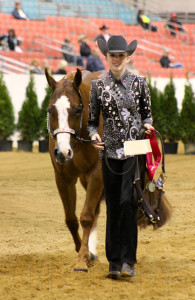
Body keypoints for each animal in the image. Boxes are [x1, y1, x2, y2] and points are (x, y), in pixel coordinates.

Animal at [45, 68, 106, 272]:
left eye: (78, 109)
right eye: (50, 110)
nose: (63, 153)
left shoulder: (98, 174)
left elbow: (86, 217)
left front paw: (81, 261)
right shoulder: (63, 178)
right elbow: (71, 219)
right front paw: (85, 253)